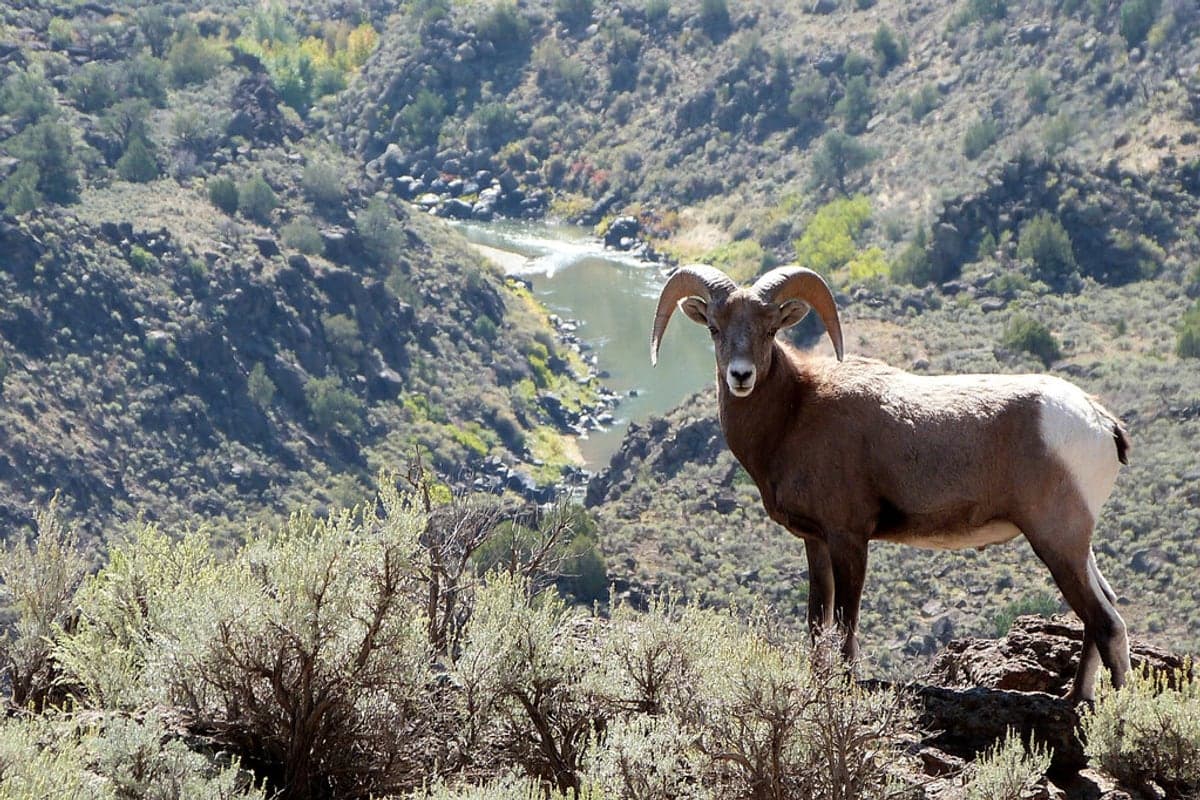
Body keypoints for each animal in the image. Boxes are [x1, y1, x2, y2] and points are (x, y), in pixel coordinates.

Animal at [650, 263, 1131, 702]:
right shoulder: (816, 542)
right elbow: (817, 623)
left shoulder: (849, 538)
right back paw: (1077, 698)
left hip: (1056, 541)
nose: (741, 376)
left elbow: (846, 623)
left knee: (1104, 622)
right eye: (715, 328)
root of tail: (1099, 422)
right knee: (1105, 611)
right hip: (1075, 545)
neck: (796, 413)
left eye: (770, 330)